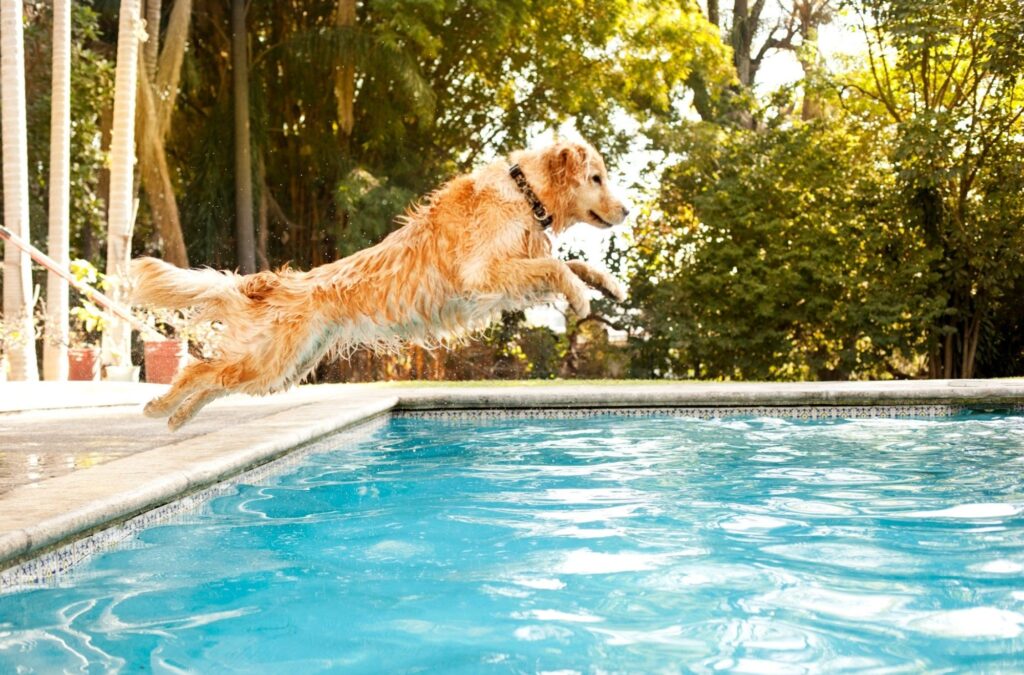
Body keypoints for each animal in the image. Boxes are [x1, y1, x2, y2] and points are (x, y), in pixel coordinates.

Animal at [132, 140, 626, 430]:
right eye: (596, 178)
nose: (625, 211)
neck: (525, 194)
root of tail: (276, 282)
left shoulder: (512, 275)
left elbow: (570, 262)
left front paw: (609, 286)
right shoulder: (483, 274)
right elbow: (558, 267)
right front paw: (581, 298)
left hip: (281, 369)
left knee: (214, 380)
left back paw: (177, 417)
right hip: (268, 361)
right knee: (197, 371)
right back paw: (160, 408)